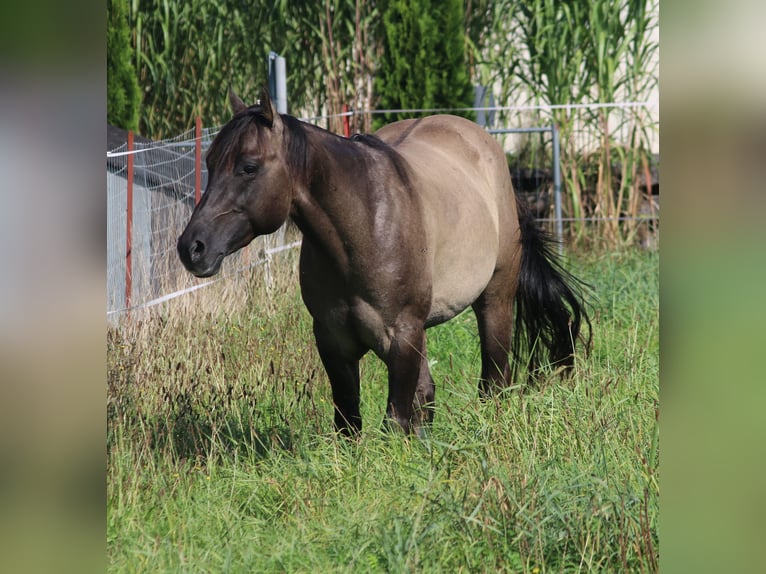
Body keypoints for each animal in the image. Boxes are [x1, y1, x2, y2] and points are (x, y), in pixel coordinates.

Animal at [177, 88, 592, 436]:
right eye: (210, 162)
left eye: (249, 166)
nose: (192, 247)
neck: (363, 228)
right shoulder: (333, 340)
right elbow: (350, 420)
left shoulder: (401, 335)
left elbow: (395, 420)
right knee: (428, 394)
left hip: (494, 301)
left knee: (494, 379)